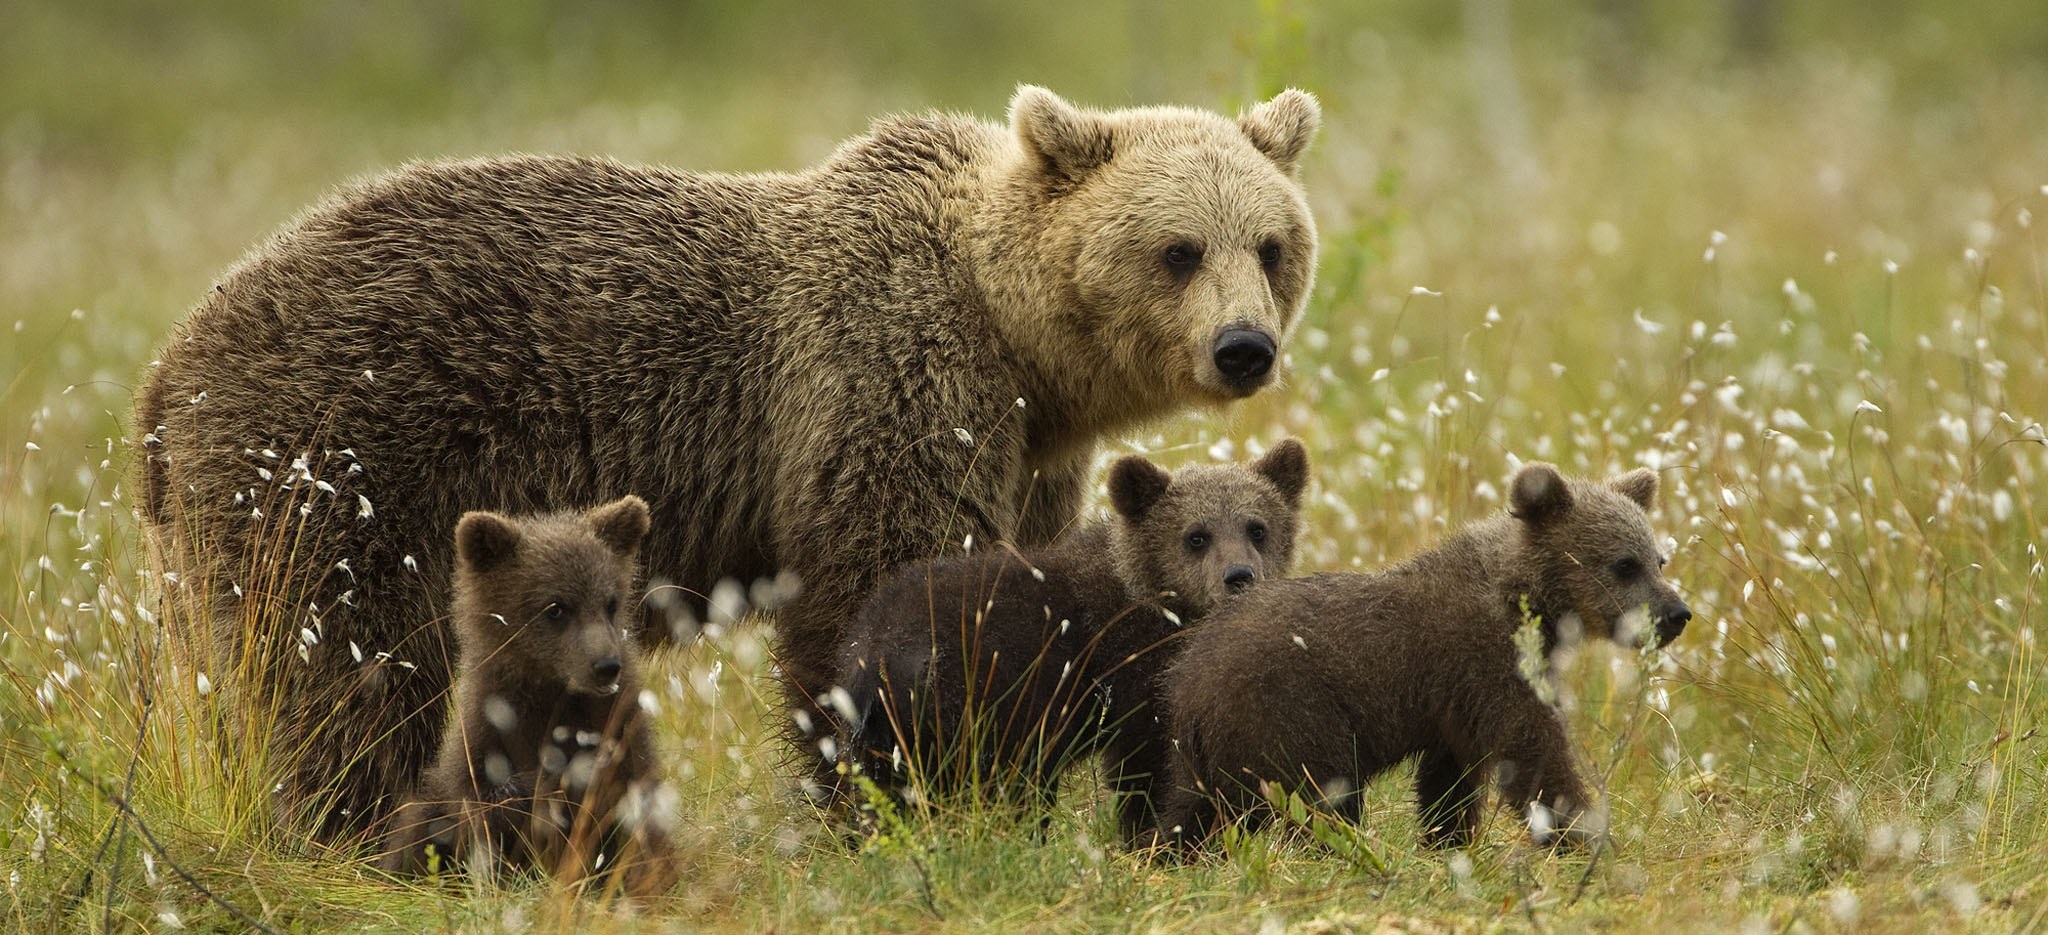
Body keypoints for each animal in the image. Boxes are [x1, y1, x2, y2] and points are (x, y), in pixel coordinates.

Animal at [376, 491, 679, 900]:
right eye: (556, 607)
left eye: (611, 602)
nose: (606, 665)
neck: (553, 697)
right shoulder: (488, 745)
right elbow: (484, 819)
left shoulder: (618, 733)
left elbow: (635, 818)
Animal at [823, 437, 1302, 838]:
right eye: (1196, 536)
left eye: (1257, 527)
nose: (1238, 575)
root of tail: (872, 656)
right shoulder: (1133, 675)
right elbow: (1150, 768)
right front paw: (1146, 835)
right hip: (973, 704)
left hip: (879, 732)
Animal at [1155, 460, 1695, 851]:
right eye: (1625, 564)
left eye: (1659, 559)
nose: (1677, 613)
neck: (1527, 600)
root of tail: (1189, 679)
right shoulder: (1487, 661)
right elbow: (1532, 752)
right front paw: (1584, 835)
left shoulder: (1457, 701)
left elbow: (1451, 778)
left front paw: (1447, 840)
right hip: (1289, 712)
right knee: (1318, 796)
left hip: (1203, 752)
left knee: (1192, 810)